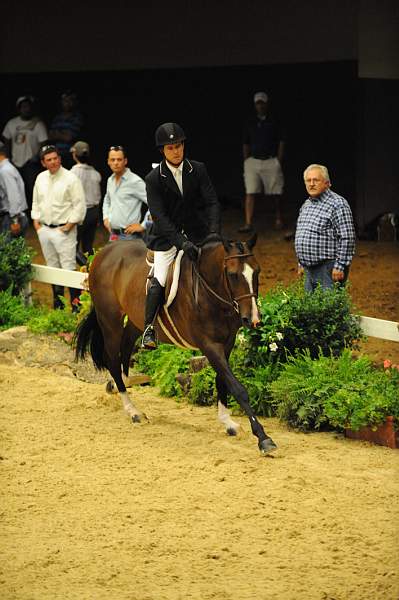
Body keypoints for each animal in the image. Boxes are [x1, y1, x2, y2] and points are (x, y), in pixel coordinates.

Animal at [75, 236, 278, 454]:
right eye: (233, 275)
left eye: (257, 272)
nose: (253, 319)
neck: (209, 291)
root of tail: (103, 252)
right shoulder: (209, 345)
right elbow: (237, 388)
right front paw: (263, 438)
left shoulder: (227, 343)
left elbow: (222, 381)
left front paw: (227, 422)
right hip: (110, 320)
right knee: (113, 359)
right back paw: (132, 410)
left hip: (136, 321)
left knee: (126, 349)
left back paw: (119, 385)